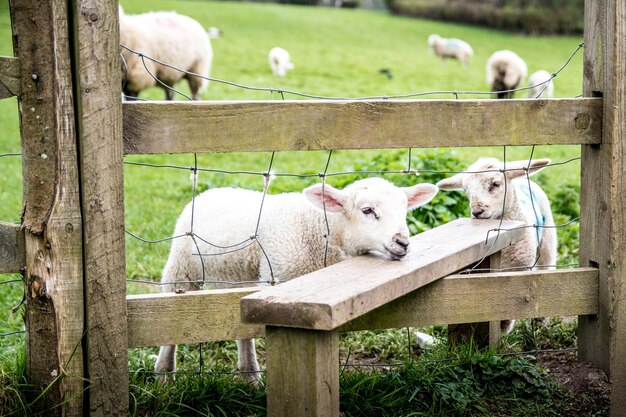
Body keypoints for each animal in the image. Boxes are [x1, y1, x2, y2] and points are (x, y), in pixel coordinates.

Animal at [155, 176, 438, 380]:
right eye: (367, 210)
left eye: (404, 210)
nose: (402, 243)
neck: (321, 229)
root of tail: (212, 191)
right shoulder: (281, 282)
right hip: (181, 268)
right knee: (171, 316)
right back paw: (164, 376)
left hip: (240, 277)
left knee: (241, 330)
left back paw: (250, 376)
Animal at [434, 158, 556, 334]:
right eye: (466, 190)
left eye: (496, 184)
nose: (476, 212)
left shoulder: (518, 271)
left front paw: (504, 327)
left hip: (548, 238)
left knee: (546, 268)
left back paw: (540, 320)